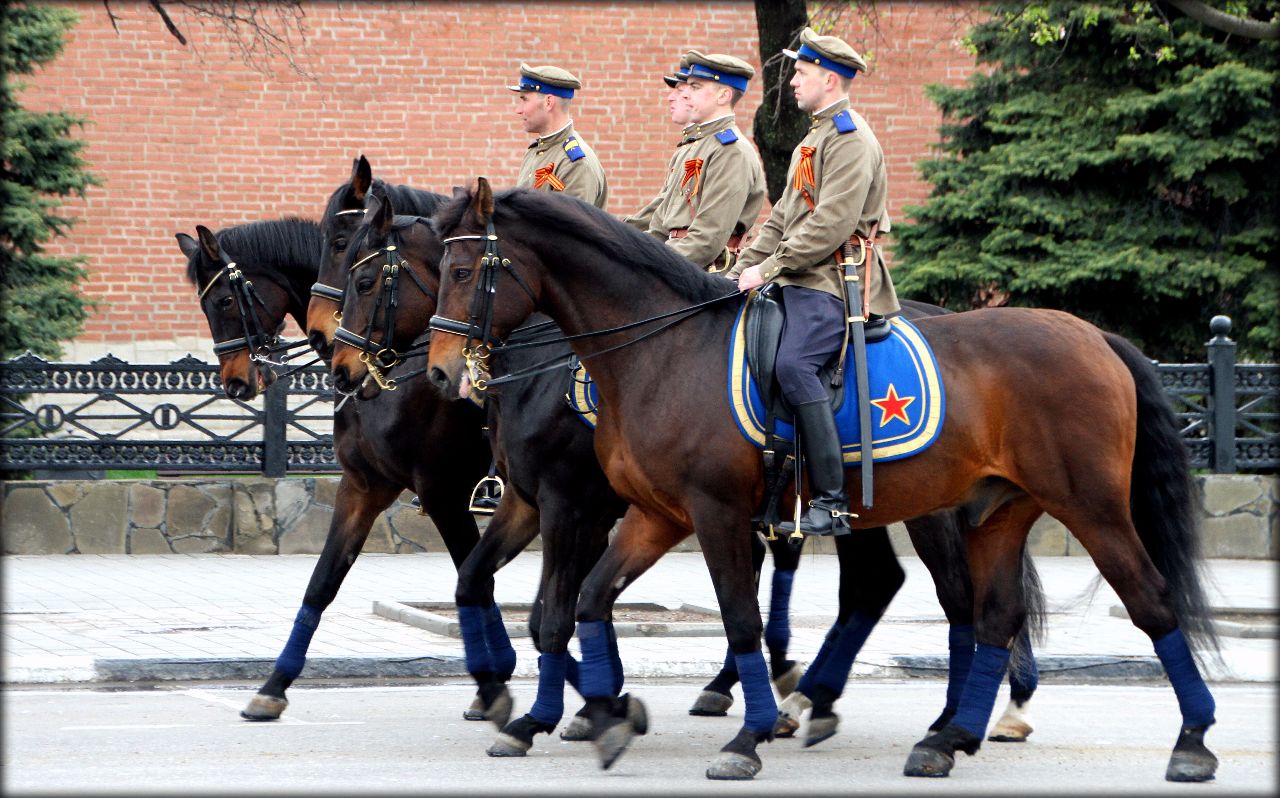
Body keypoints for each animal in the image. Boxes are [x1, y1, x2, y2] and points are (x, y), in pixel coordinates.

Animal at [180, 212, 494, 722]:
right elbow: (322, 582)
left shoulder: (445, 495)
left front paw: (491, 687)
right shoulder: (364, 488)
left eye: (225, 300)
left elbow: (476, 584)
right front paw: (273, 686)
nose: (235, 384)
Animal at [422, 178, 1218, 783]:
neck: (660, 349)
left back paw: (1191, 741)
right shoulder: (650, 514)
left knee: (1146, 602)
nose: (435, 371)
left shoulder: (684, 511)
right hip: (996, 511)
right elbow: (583, 601)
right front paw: (601, 712)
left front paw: (743, 735)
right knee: (988, 615)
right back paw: (944, 735)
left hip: (1086, 507)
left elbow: (733, 618)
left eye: (461, 272)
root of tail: (1095, 335)